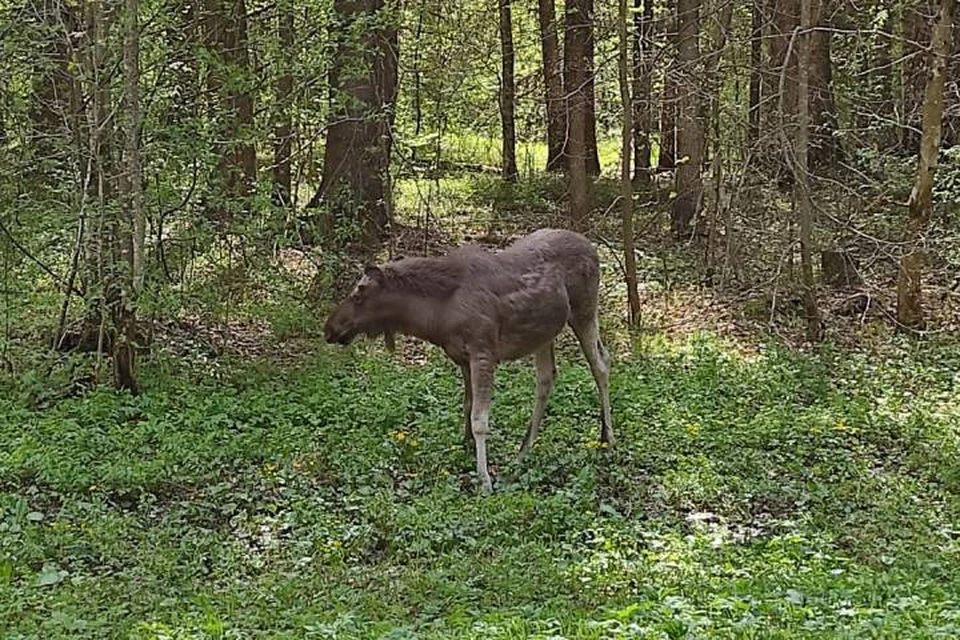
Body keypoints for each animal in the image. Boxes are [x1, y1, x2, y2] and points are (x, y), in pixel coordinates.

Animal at [326, 228, 612, 492]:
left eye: (358, 295)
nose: (329, 328)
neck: (436, 318)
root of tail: (593, 248)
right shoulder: (461, 358)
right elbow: (466, 406)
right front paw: (465, 449)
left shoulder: (483, 352)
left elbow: (480, 421)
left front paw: (484, 480)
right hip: (543, 333)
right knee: (546, 377)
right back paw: (523, 452)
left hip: (584, 311)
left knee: (600, 364)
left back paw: (607, 439)